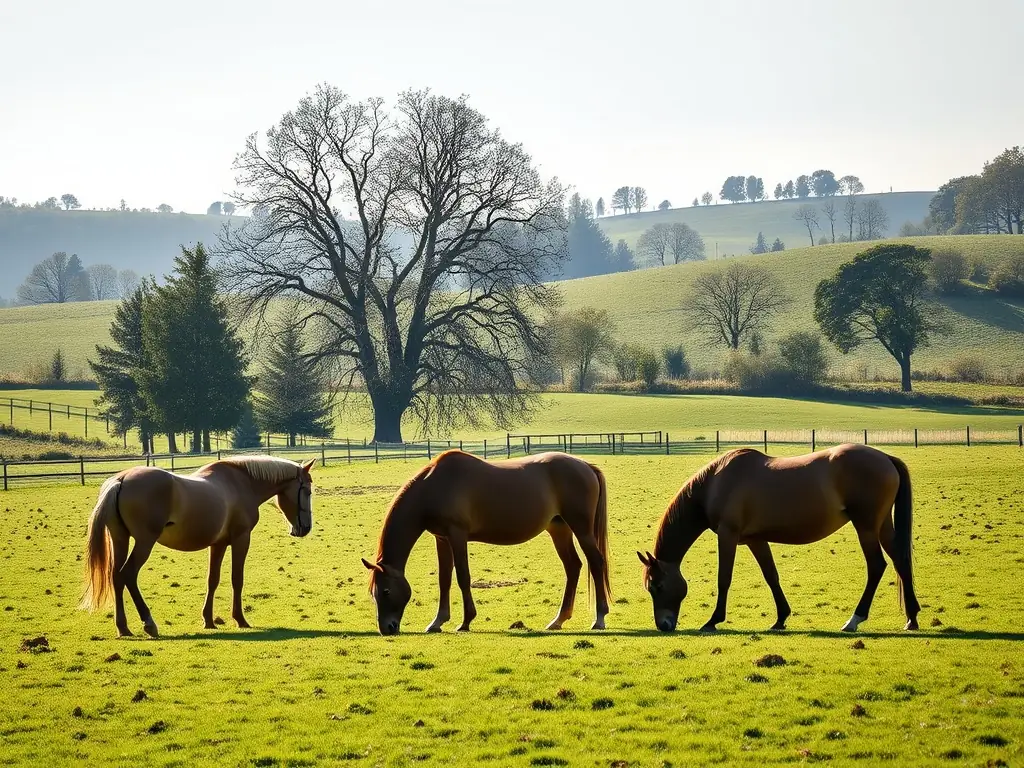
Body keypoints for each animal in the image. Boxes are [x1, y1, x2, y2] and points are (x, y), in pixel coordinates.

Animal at [80, 455, 316, 637]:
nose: (305, 528)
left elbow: (213, 580)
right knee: (128, 574)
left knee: (116, 577)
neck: (241, 484)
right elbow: (236, 579)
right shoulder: (241, 539)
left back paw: (123, 627)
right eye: (307, 491)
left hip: (120, 539)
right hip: (144, 542)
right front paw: (240, 619)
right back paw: (149, 623)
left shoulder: (219, 544)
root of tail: (120, 479)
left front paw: (208, 620)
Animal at [360, 450, 611, 635]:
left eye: (385, 591)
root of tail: (586, 465)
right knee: (573, 566)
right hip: (559, 529)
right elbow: (444, 579)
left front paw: (465, 622)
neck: (434, 486)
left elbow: (462, 576)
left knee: (596, 562)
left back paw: (599, 618)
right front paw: (437, 622)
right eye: (373, 592)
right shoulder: (442, 538)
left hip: (582, 529)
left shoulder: (457, 535)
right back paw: (558, 620)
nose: (387, 628)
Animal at [638, 443, 920, 634]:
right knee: (900, 561)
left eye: (656, 586)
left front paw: (712, 620)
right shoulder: (755, 539)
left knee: (876, 566)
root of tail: (885, 458)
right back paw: (912, 618)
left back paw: (854, 619)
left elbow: (724, 578)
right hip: (882, 526)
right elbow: (771, 576)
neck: (715, 483)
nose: (663, 626)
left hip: (866, 527)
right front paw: (781, 618)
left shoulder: (728, 535)